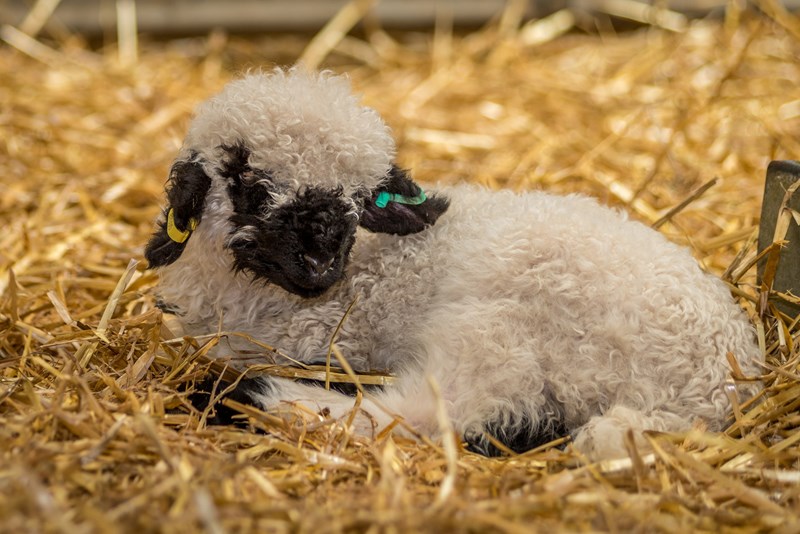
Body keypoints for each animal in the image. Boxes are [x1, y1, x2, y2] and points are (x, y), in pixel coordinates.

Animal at [145, 67, 764, 460]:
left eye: (360, 197)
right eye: (248, 181)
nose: (320, 259)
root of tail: (713, 390)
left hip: (500, 315)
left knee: (435, 413)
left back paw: (255, 399)